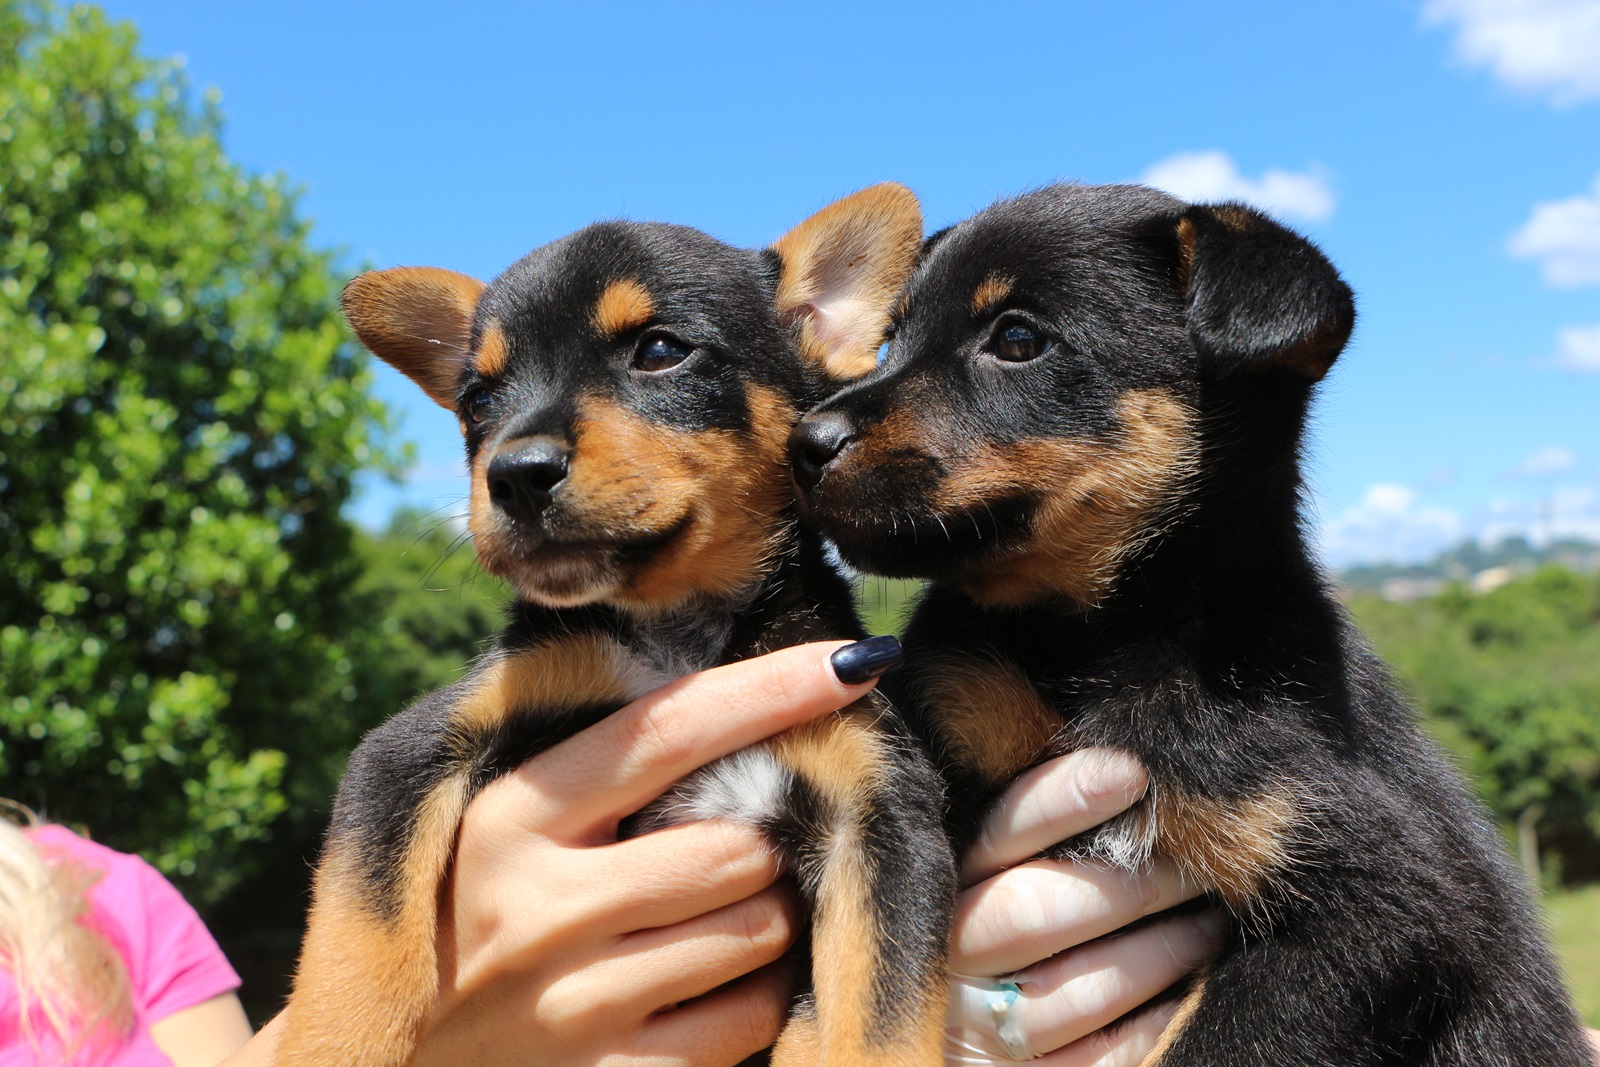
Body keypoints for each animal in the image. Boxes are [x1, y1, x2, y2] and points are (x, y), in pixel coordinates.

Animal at [276, 183, 953, 1067]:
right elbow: (357, 949)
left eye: (659, 351)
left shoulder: (879, 818)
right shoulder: (405, 752)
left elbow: (880, 1024)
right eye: (478, 400)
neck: (678, 639)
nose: (514, 474)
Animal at [787, 185, 1587, 1067]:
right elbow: (843, 984)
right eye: (890, 339)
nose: (803, 442)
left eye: (1018, 338)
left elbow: (1207, 1042)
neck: (1095, 642)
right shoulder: (929, 743)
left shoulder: (1384, 901)